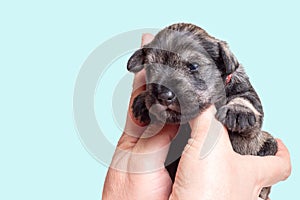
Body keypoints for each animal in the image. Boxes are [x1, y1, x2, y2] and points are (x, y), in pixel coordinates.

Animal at [126, 22, 276, 199]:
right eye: (150, 69)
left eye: (193, 66)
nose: (163, 96)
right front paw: (142, 101)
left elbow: (246, 99)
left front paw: (238, 110)